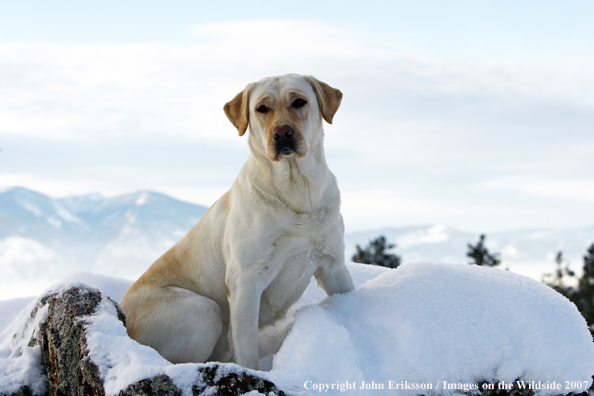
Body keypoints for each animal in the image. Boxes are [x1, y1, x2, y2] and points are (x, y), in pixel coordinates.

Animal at [118, 74, 354, 372]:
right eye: (261, 109)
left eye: (299, 102)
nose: (282, 133)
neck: (298, 192)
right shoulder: (245, 281)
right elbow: (247, 346)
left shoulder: (333, 264)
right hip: (203, 311)